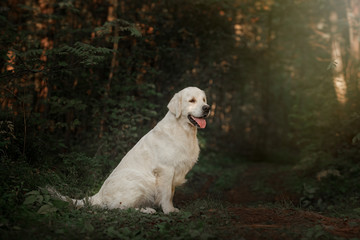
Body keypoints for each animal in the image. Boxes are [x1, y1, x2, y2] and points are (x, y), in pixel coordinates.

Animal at [49, 86, 210, 214]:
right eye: (192, 100)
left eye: (203, 100)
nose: (207, 108)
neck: (184, 130)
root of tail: (99, 194)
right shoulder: (166, 170)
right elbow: (165, 195)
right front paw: (169, 210)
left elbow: (170, 193)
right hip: (139, 183)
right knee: (118, 207)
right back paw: (147, 210)